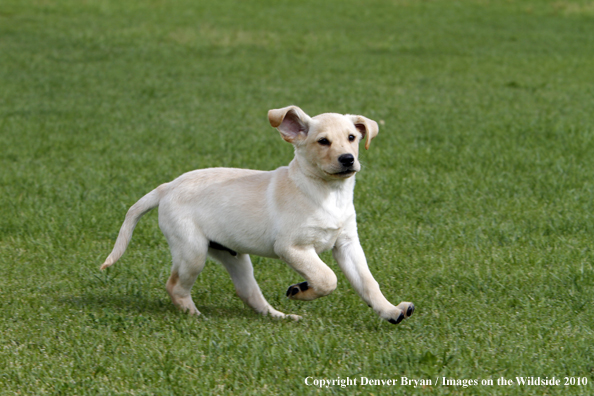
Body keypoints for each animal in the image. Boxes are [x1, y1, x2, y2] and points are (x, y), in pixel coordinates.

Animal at [100, 106, 412, 324]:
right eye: (323, 141)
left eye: (352, 138)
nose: (348, 159)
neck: (327, 193)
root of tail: (167, 187)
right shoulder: (291, 247)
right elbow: (327, 278)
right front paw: (303, 289)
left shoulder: (347, 244)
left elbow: (368, 283)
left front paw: (390, 311)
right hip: (192, 251)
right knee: (175, 286)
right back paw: (196, 316)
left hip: (233, 255)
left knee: (249, 293)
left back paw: (281, 317)